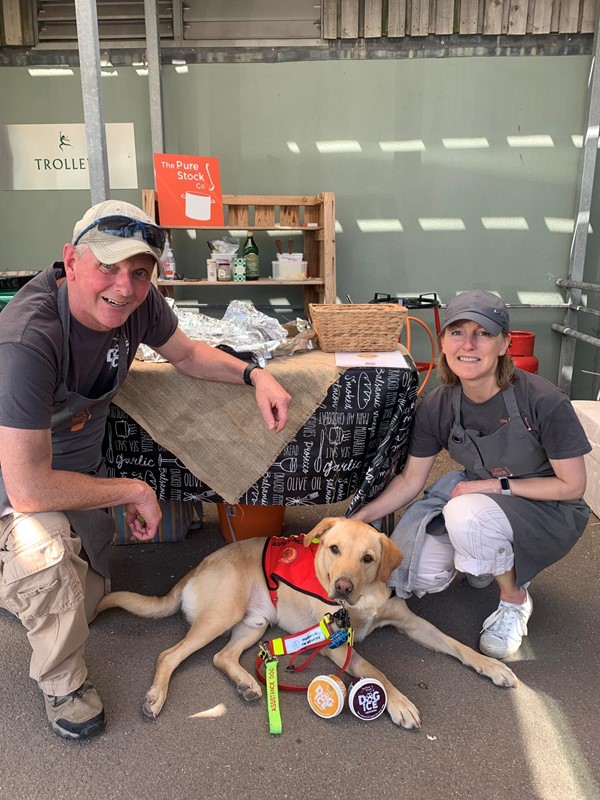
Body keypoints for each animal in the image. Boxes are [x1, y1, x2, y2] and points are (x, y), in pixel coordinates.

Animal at [96, 516, 516, 728]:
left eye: (368, 559)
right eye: (333, 549)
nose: (343, 586)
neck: (362, 599)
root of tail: (199, 563)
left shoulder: (411, 622)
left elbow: (456, 644)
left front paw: (492, 667)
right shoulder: (336, 647)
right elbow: (377, 671)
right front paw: (398, 702)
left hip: (254, 624)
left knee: (221, 657)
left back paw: (248, 684)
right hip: (223, 615)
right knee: (169, 655)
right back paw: (156, 698)